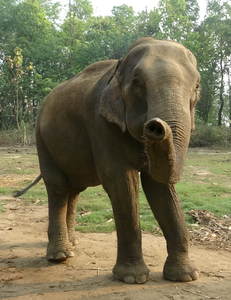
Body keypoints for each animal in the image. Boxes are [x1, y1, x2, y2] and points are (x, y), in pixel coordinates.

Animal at [14, 37, 200, 284]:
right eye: (138, 83)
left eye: (197, 86)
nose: (155, 126)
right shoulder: (101, 122)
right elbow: (120, 181)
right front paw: (131, 278)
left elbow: (158, 185)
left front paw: (186, 276)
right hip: (40, 138)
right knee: (58, 186)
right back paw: (60, 255)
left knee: (74, 190)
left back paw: (72, 243)